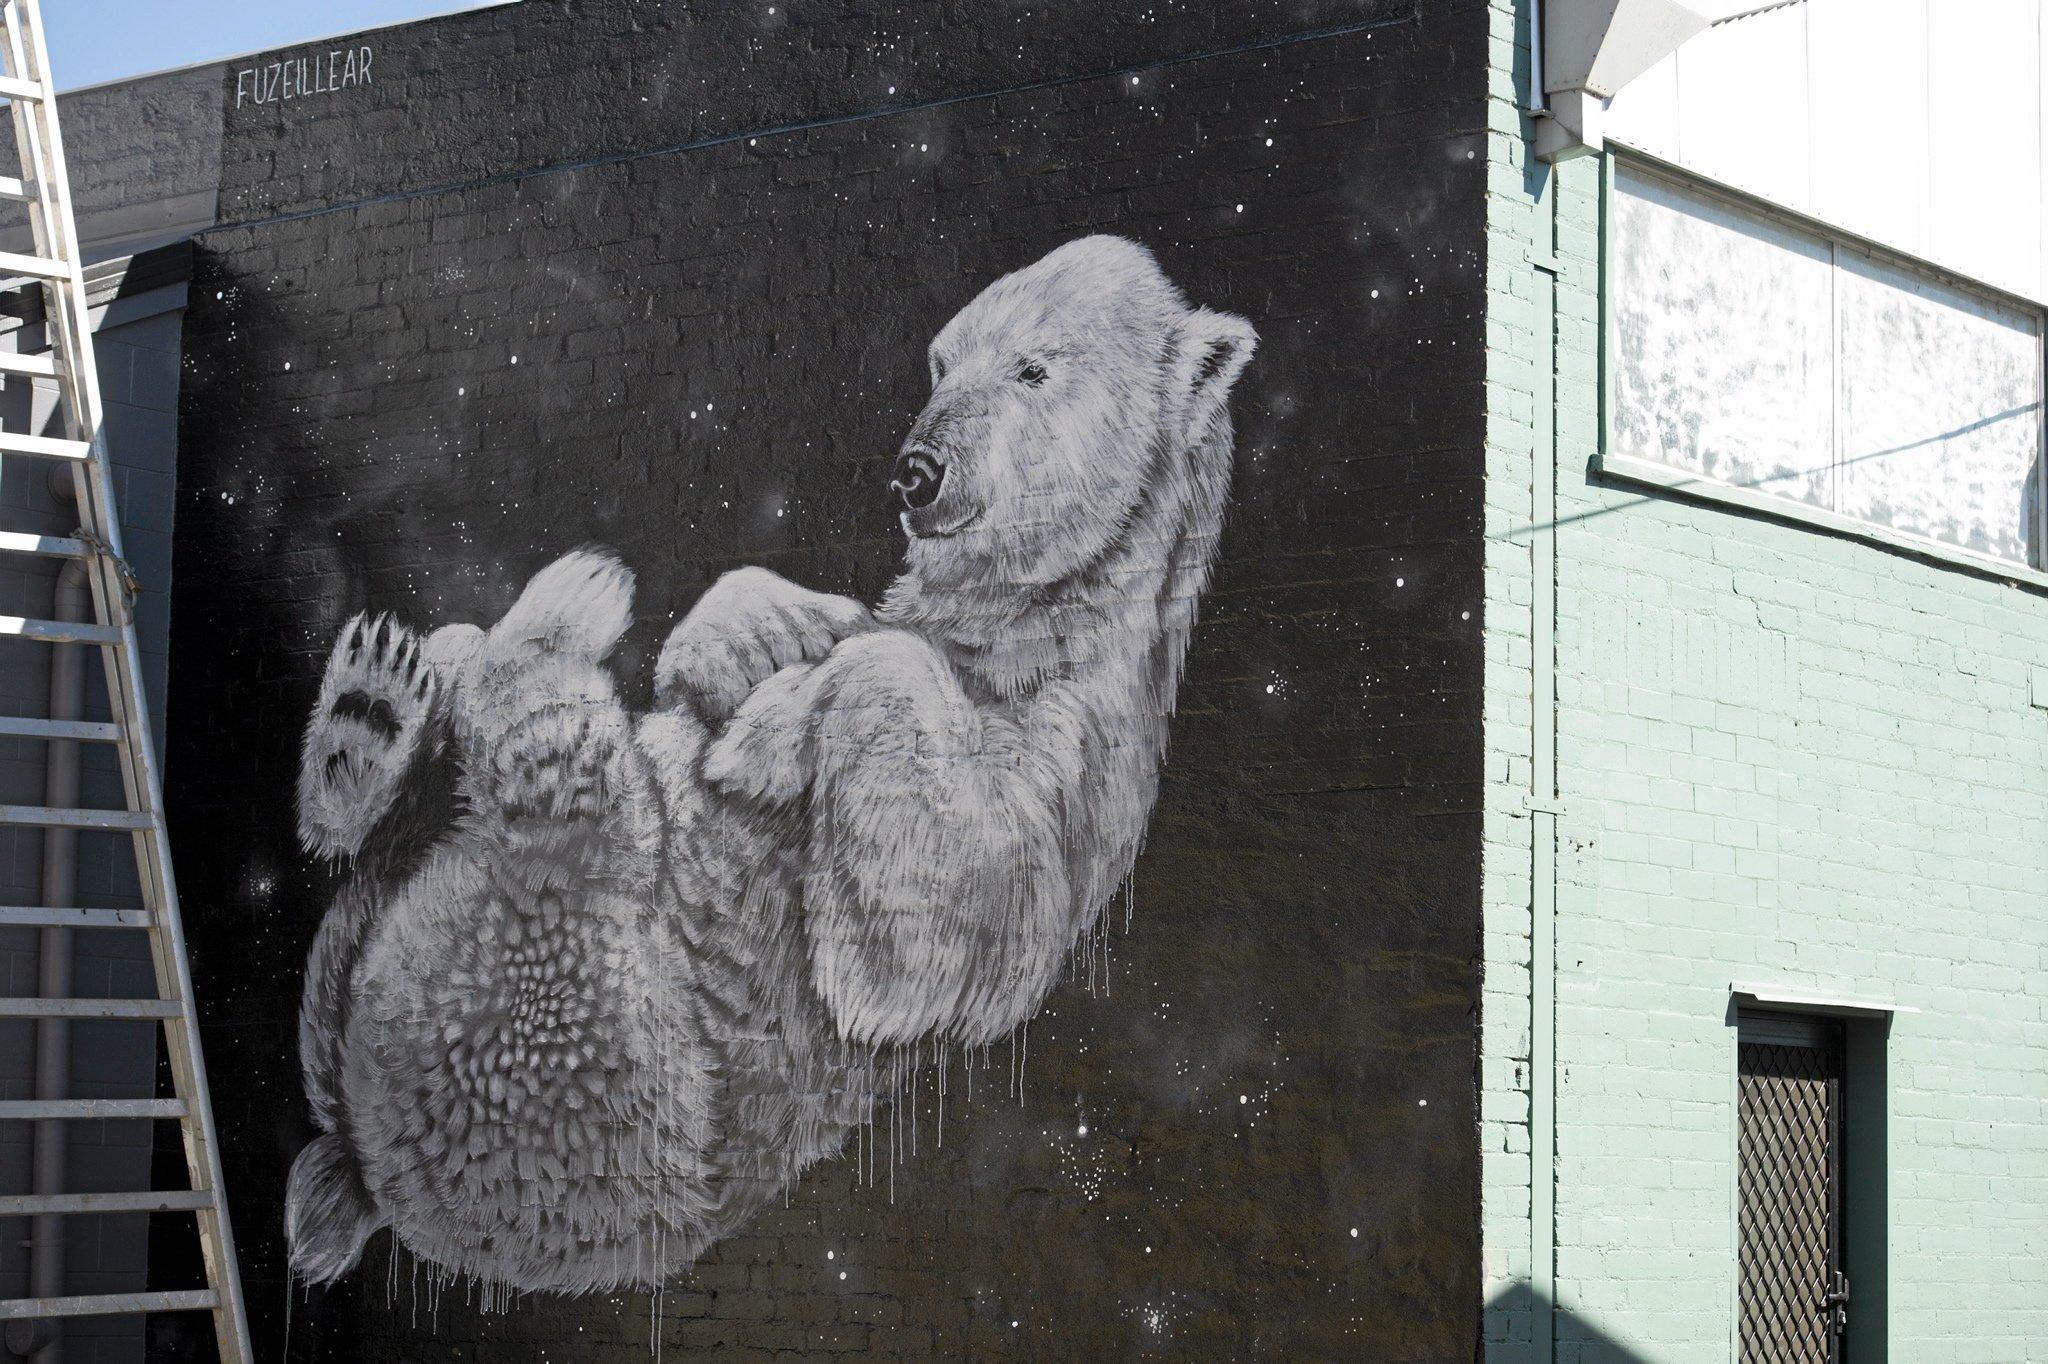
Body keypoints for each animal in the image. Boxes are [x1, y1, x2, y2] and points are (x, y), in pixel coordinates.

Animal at [282, 236, 1253, 1294]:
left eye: (1034, 368)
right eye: (941, 363)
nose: (916, 472)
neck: (1029, 626)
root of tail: (372, 1155)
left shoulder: (1079, 763)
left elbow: (931, 935)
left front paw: (772, 734)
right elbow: (784, 624)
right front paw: (770, 637)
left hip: (595, 1070)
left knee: (570, 830)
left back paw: (562, 610)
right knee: (442, 720)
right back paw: (372, 713)